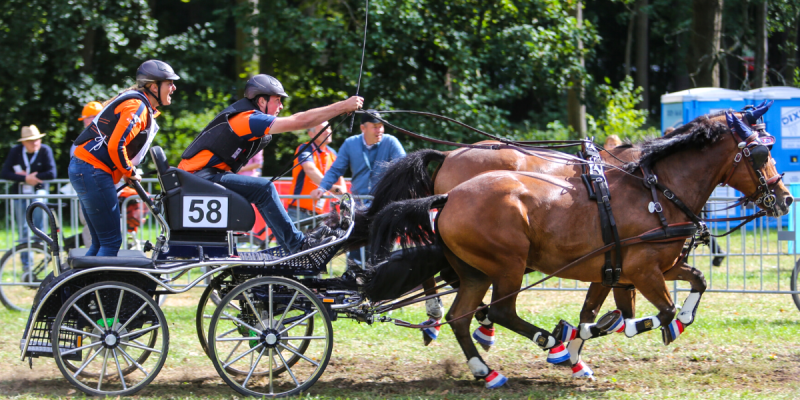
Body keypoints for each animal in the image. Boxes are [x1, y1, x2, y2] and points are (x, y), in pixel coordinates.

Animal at [366, 112, 792, 388]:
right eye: (761, 153)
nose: (785, 198)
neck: (657, 193)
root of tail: (449, 196)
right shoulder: (642, 271)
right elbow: (650, 312)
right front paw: (599, 332)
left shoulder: (637, 268)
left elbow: (696, 282)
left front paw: (582, 351)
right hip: (508, 266)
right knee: (498, 311)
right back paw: (545, 339)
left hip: (476, 272)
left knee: (462, 315)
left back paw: (484, 368)